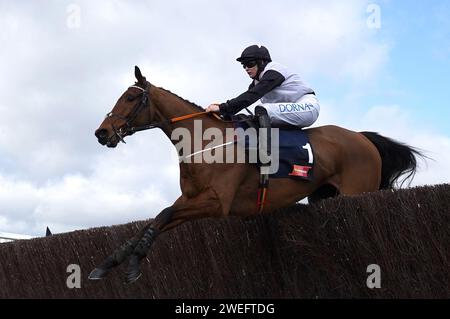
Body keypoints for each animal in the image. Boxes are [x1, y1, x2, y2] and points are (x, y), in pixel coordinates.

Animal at [89, 67, 422, 282]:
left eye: (130, 98)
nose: (101, 133)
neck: (205, 141)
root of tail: (362, 137)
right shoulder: (191, 199)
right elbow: (158, 218)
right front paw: (110, 263)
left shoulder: (217, 204)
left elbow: (164, 214)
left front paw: (132, 264)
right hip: (323, 195)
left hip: (358, 191)